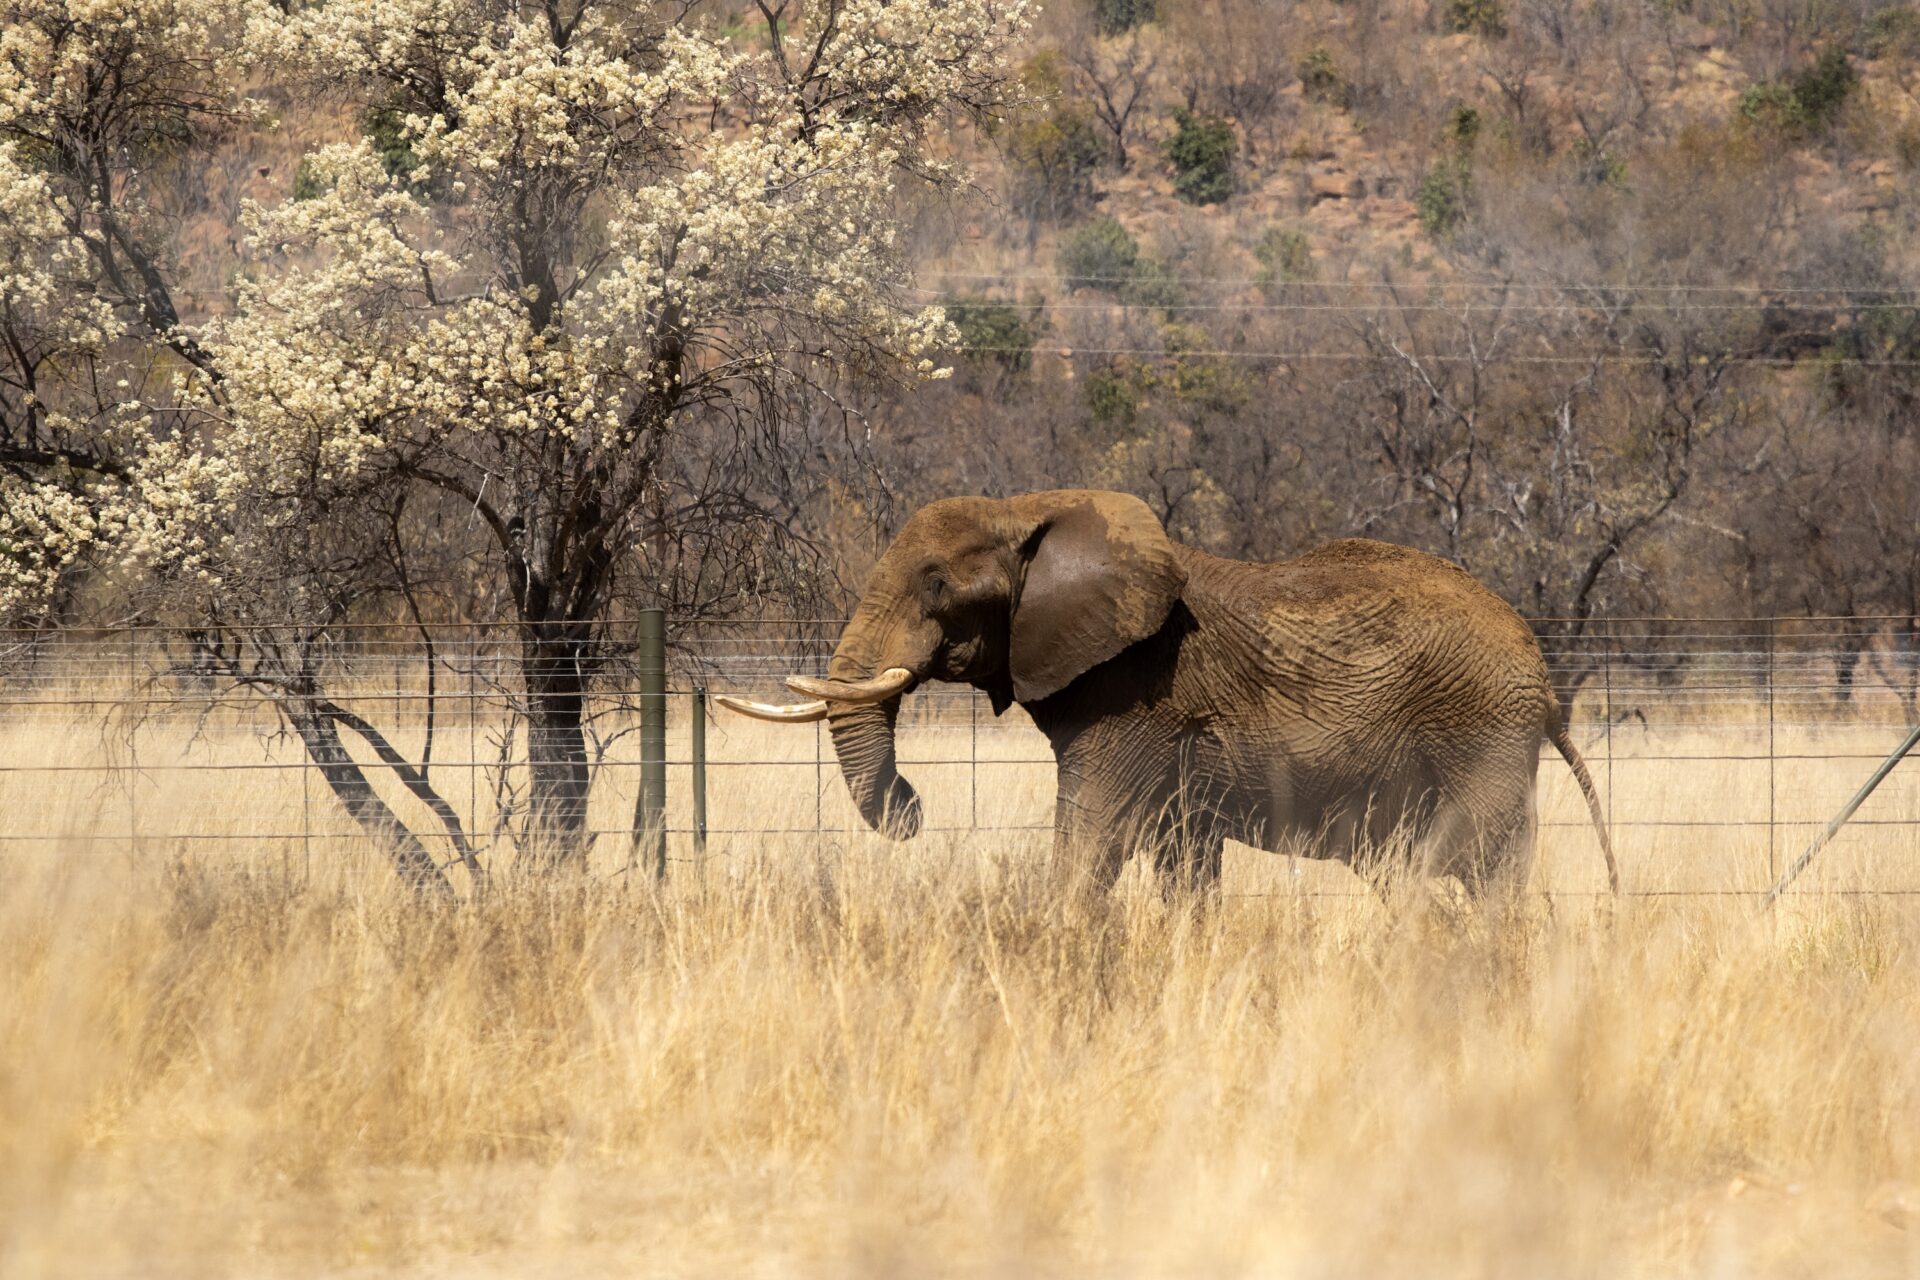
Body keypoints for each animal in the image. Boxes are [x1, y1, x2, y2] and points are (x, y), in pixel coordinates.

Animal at [721, 491, 1620, 901]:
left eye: (936, 584)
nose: (914, 808)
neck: (1033, 508)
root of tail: (1543, 677)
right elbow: (1182, 858)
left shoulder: (1133, 695)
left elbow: (1092, 834)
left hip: (1482, 730)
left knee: (1486, 872)